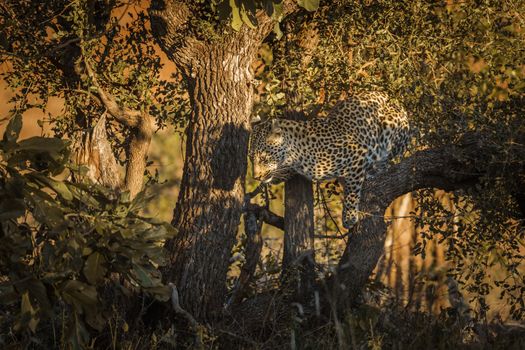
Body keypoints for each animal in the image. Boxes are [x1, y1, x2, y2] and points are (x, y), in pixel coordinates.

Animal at [249, 90, 410, 228]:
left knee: (388, 156)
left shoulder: (357, 154)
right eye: (251, 159)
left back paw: (376, 169)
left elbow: (352, 191)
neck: (296, 154)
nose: (256, 177)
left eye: (264, 158)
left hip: (390, 128)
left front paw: (349, 217)